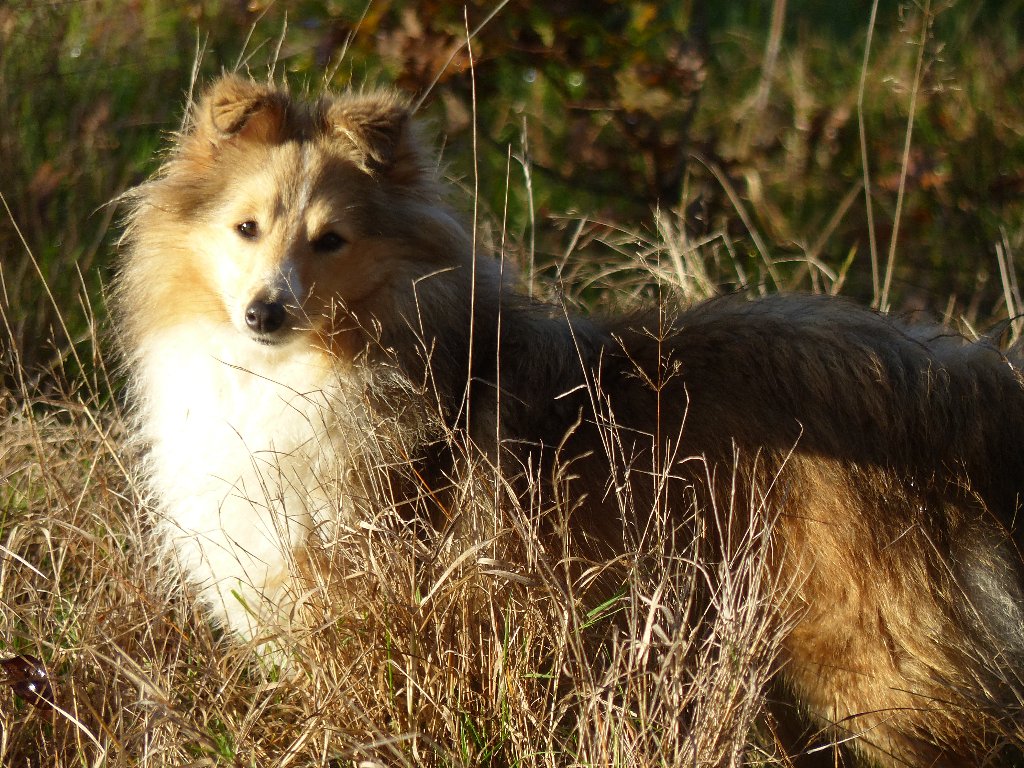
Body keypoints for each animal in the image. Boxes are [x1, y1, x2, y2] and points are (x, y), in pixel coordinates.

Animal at [114, 75, 1024, 765]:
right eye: (245, 227)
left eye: (330, 239)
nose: (265, 312)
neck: (303, 371)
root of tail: (954, 379)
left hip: (869, 661)